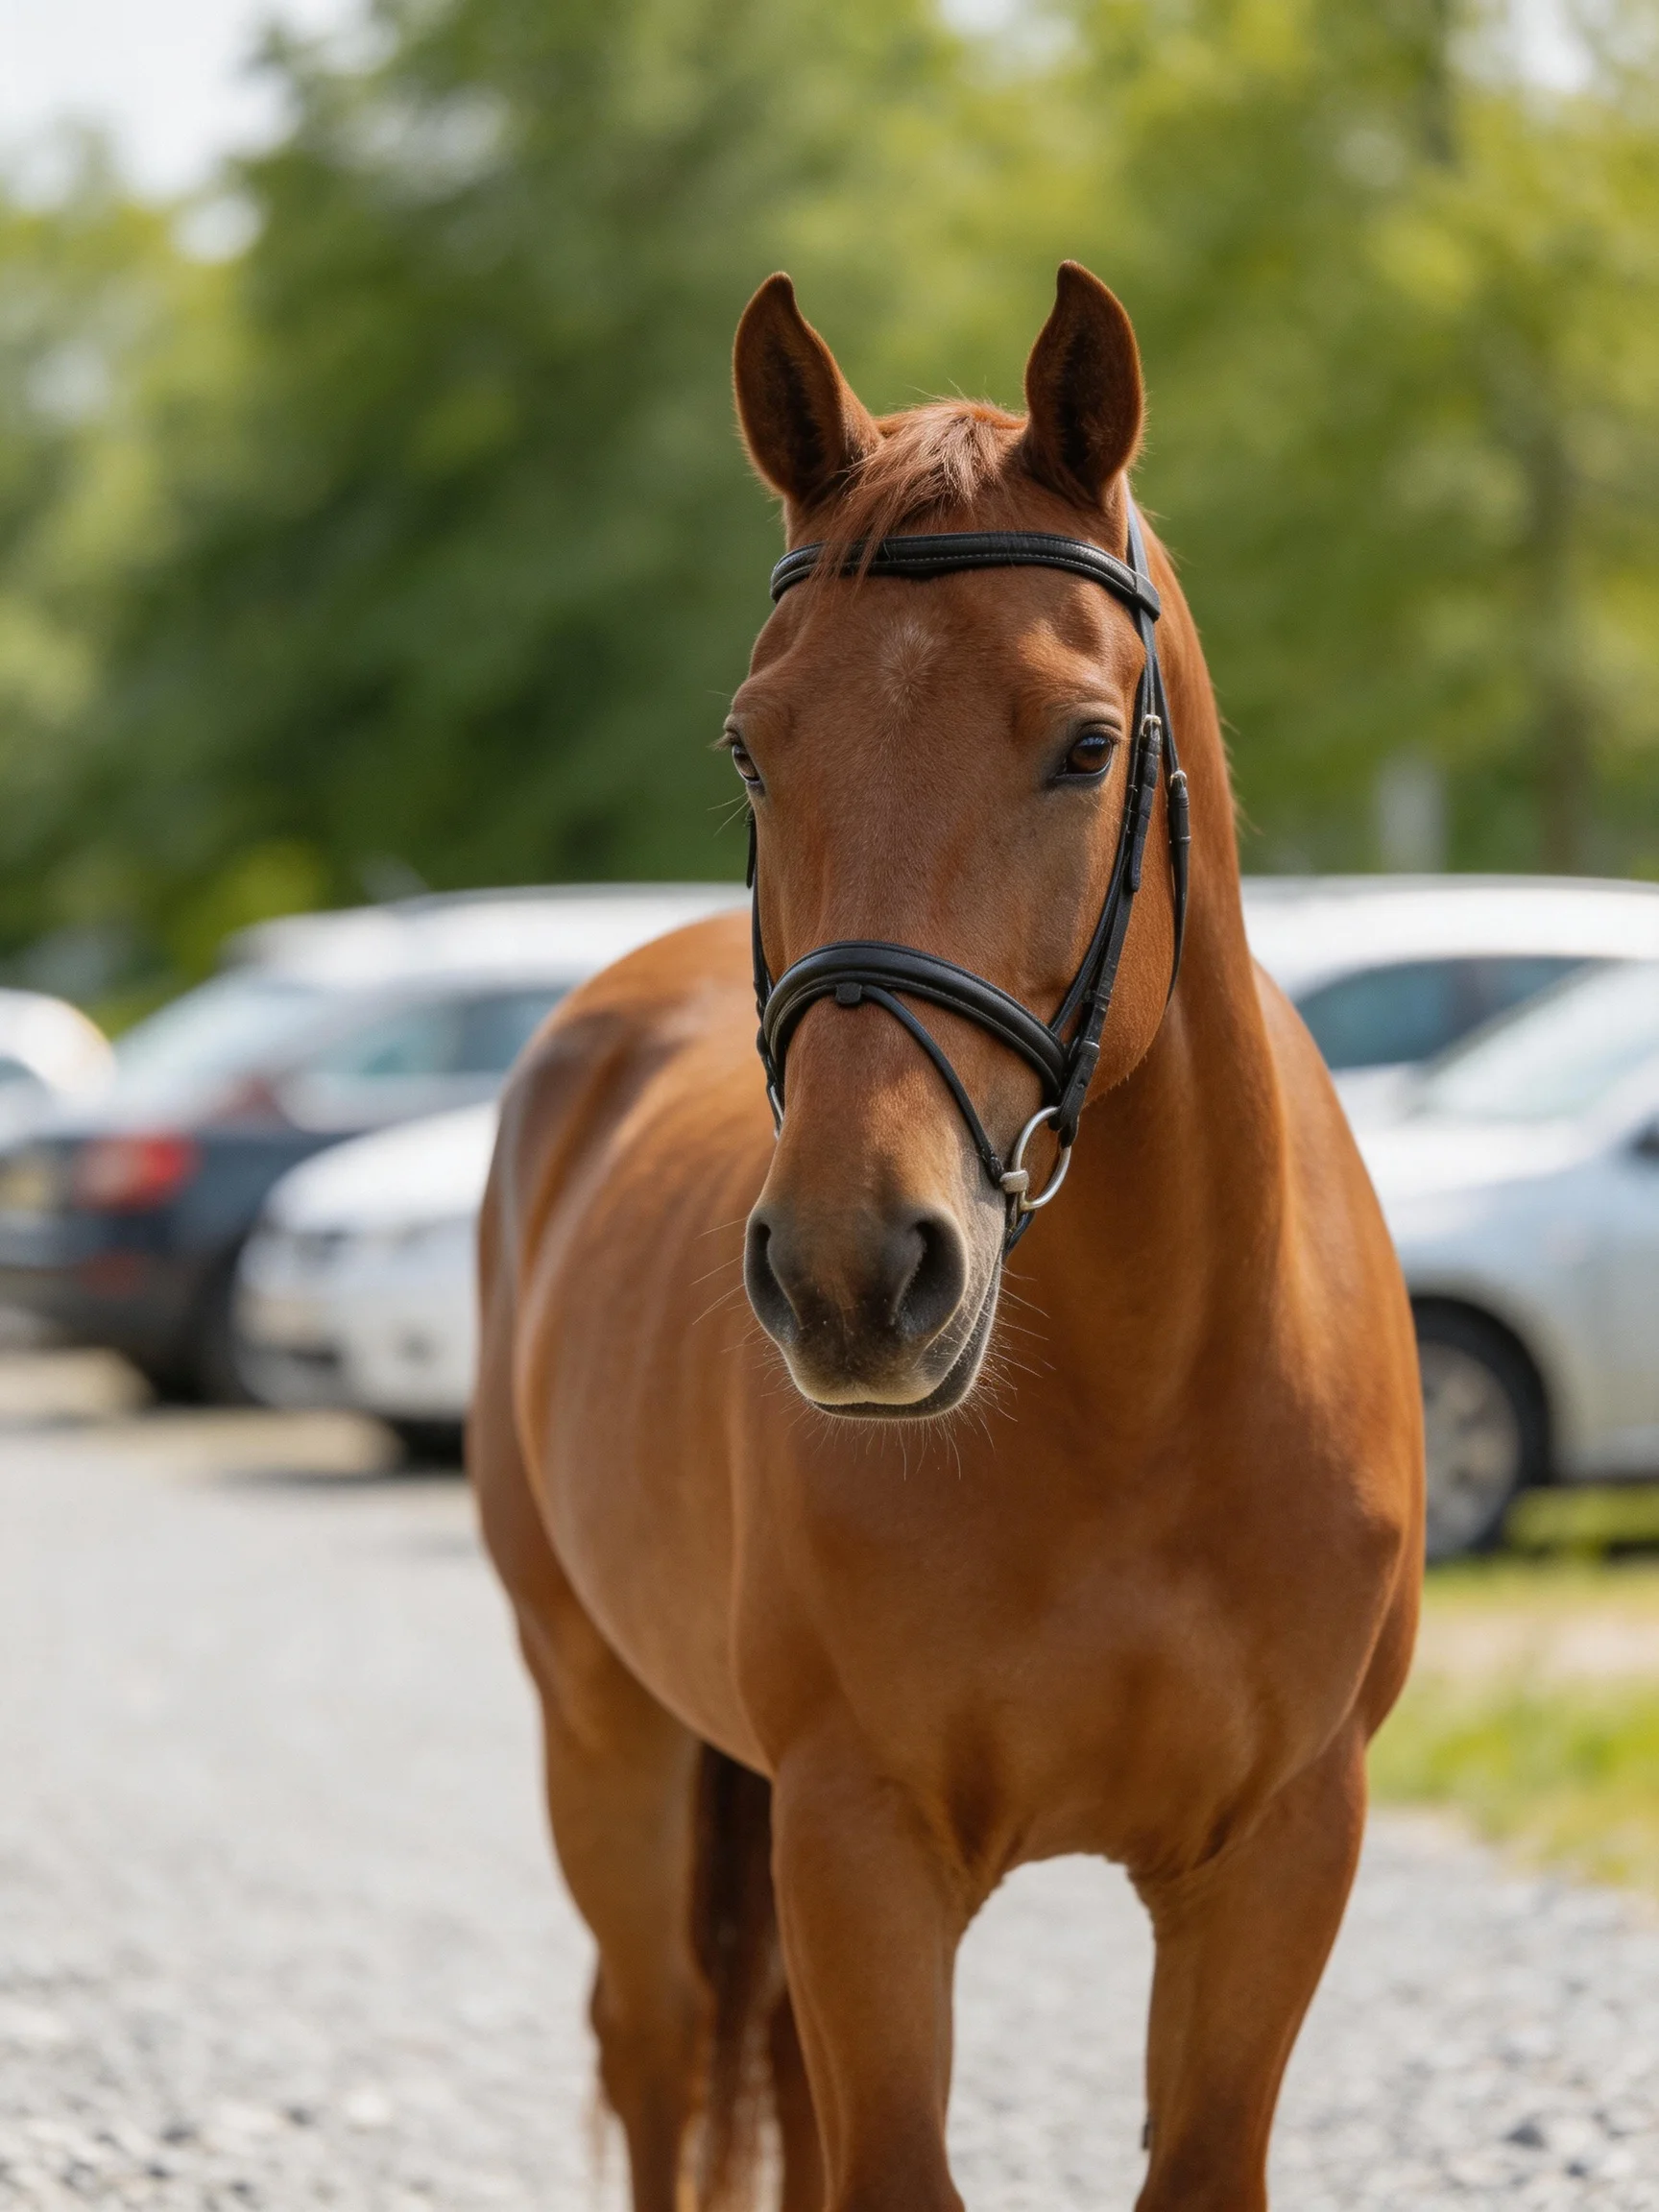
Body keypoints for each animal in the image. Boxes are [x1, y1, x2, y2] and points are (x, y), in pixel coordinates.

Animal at [471, 260, 1423, 2212]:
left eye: (1084, 745)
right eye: (751, 745)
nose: (852, 1274)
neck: (1142, 1406)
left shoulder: (1282, 1855)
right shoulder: (862, 1850)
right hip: (597, 1717)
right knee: (657, 2040)